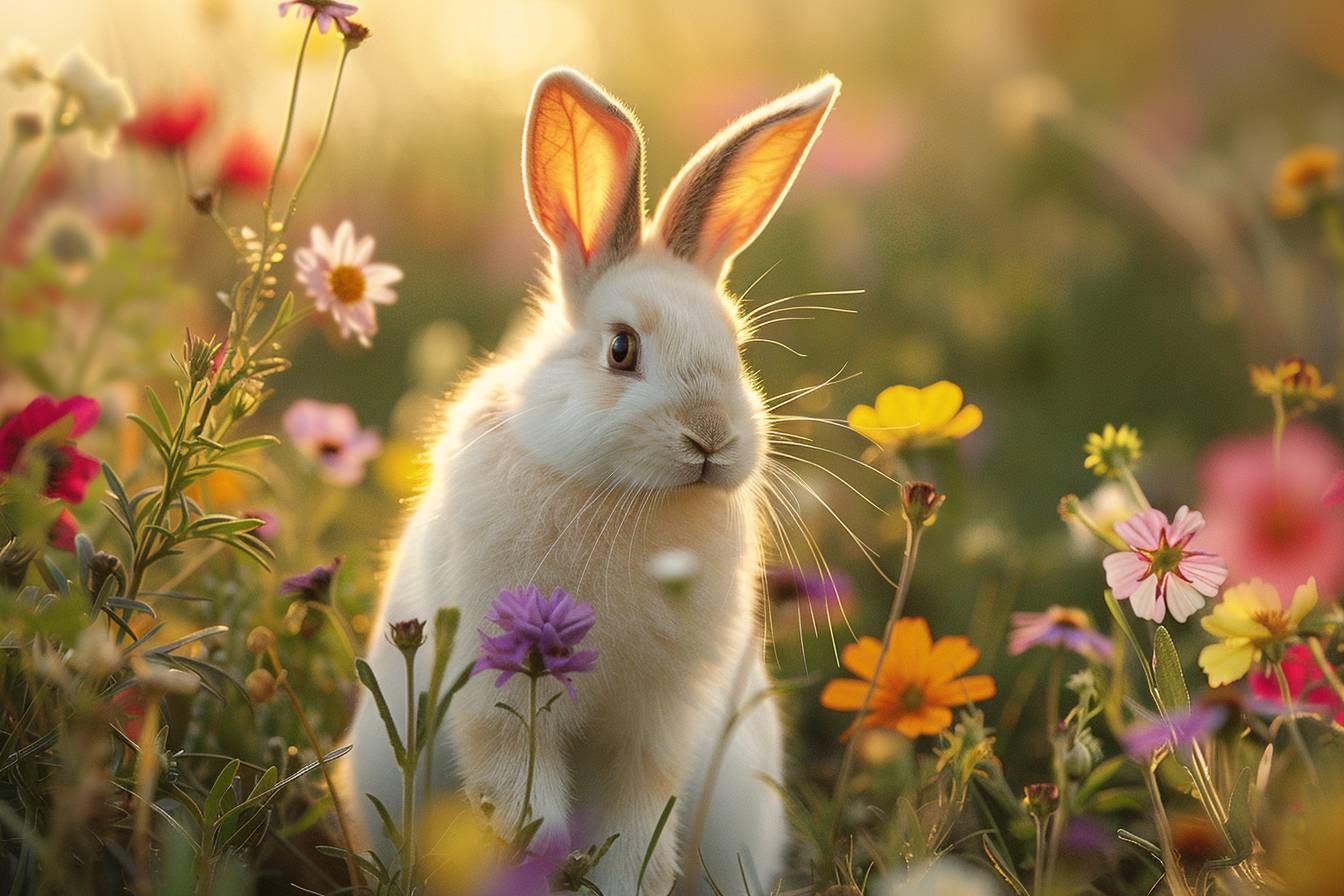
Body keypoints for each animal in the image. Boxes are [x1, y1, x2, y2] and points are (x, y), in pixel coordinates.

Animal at [342, 66, 839, 894]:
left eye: (735, 349)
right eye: (621, 348)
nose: (712, 437)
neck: (628, 501)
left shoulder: (654, 725)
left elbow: (636, 827)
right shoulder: (503, 694)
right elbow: (524, 807)